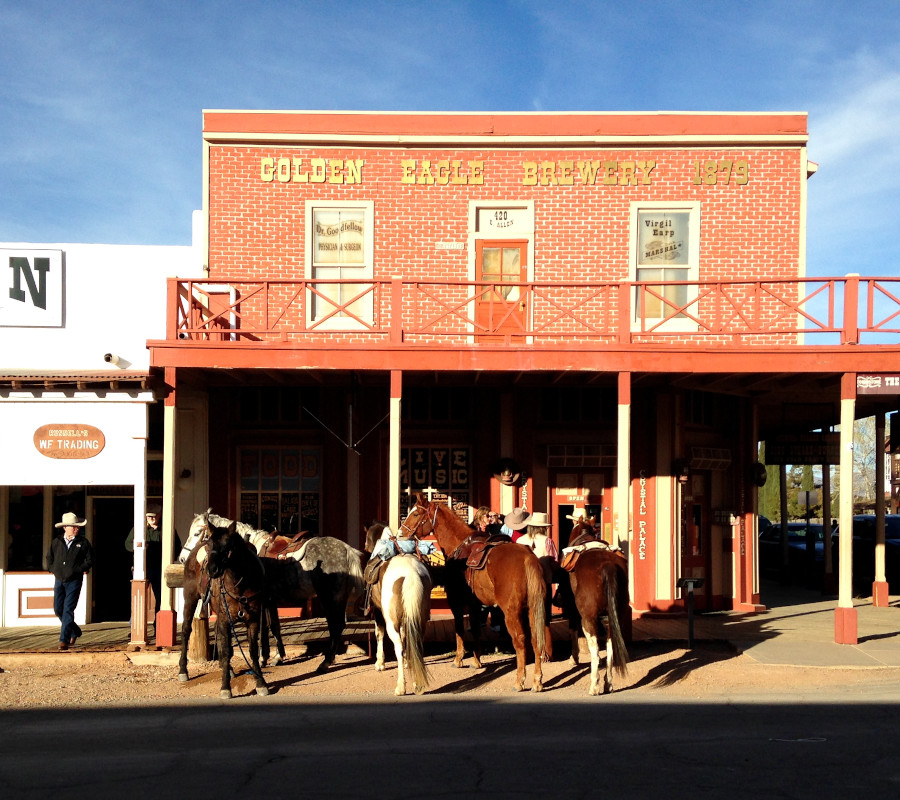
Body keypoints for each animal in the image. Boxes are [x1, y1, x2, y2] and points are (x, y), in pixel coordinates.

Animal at [370, 556, 432, 692]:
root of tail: (411, 573)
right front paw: (407, 662)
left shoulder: (377, 610)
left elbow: (379, 634)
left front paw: (380, 663)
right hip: (420, 621)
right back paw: (417, 682)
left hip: (392, 623)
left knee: (398, 648)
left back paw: (401, 687)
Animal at [400, 494, 548, 692]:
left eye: (415, 513)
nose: (400, 533)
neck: (459, 546)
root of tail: (528, 558)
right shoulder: (476, 605)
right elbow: (476, 630)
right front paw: (477, 661)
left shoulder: (456, 602)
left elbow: (459, 630)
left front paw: (458, 659)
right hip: (532, 610)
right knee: (536, 640)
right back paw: (537, 681)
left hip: (512, 612)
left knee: (520, 641)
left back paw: (519, 681)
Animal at [560, 520, 628, 692]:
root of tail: (608, 565)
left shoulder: (572, 607)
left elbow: (573, 629)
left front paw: (574, 657)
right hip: (615, 616)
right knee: (610, 646)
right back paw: (608, 682)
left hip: (588, 617)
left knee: (594, 648)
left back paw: (594, 685)